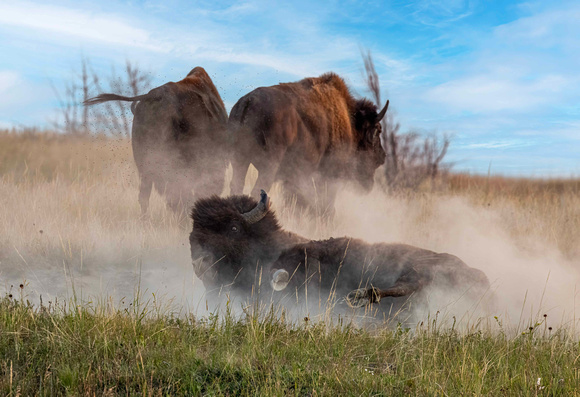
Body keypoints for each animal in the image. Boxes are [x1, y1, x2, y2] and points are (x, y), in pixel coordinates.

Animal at [190, 190, 490, 314]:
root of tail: (485, 281)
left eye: (233, 228)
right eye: (194, 229)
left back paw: (361, 296)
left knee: (407, 284)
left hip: (419, 267)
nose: (199, 261)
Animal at [229, 72, 388, 212]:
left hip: (240, 161)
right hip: (269, 164)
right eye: (378, 130)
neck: (351, 121)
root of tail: (248, 101)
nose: (382, 157)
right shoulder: (330, 175)